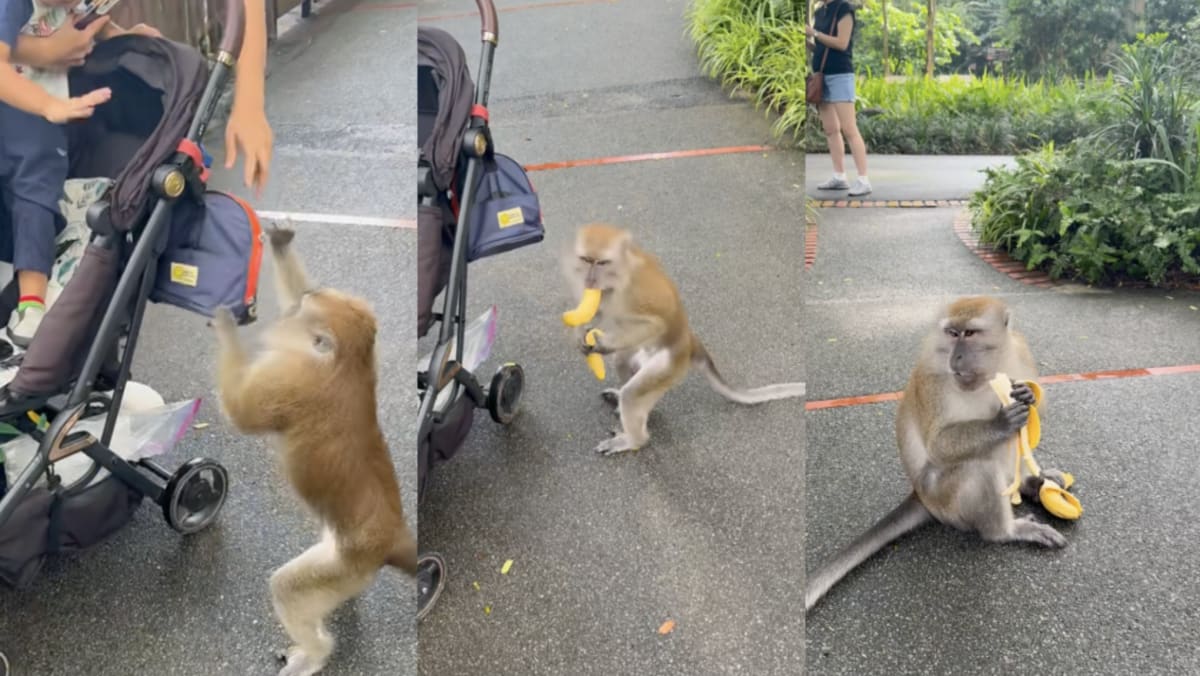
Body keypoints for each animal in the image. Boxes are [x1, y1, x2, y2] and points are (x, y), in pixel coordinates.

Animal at [211, 224, 417, 676]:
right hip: (341, 556)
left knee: (288, 587)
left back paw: (316, 653)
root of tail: (392, 541)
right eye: (312, 296)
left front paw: (227, 324)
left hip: (346, 565)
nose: (306, 296)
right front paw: (281, 244)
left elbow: (243, 413)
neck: (348, 362)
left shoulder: (298, 380)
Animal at [561, 223, 806, 456]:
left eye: (602, 262)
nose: (590, 278)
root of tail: (688, 342)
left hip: (667, 367)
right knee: (622, 361)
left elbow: (654, 324)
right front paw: (580, 332)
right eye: (586, 259)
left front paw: (601, 344)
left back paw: (634, 439)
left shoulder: (631, 293)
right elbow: (597, 310)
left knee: (633, 394)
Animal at [804, 296, 1068, 613]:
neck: (986, 375)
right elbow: (939, 444)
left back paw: (1033, 483)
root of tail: (919, 494)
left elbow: (1036, 413)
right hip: (943, 498)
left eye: (970, 333)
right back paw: (1006, 531)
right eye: (952, 334)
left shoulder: (1020, 349)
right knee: (979, 466)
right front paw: (1000, 423)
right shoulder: (932, 380)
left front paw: (1029, 395)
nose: (956, 358)